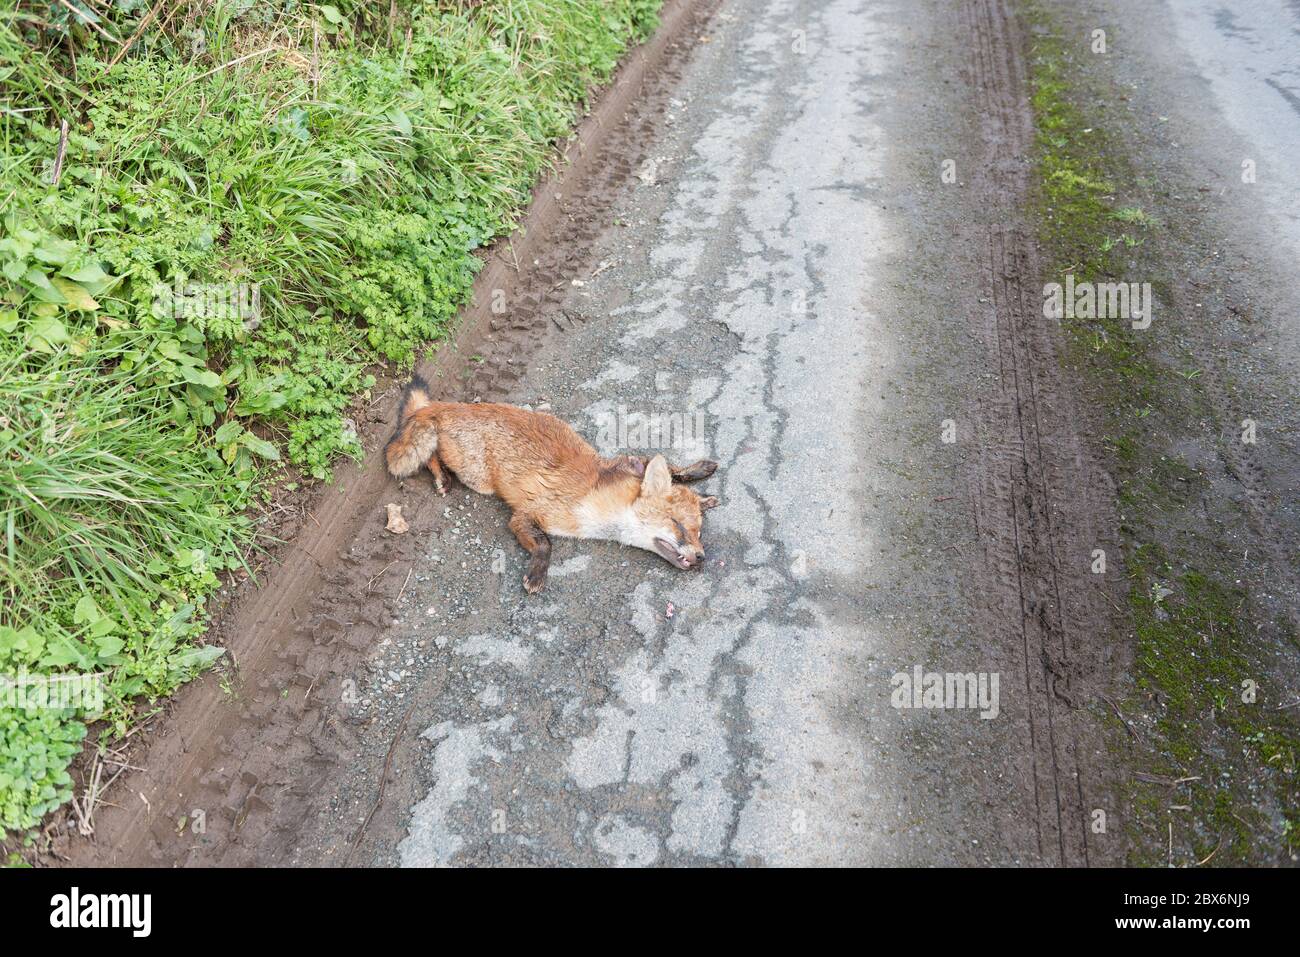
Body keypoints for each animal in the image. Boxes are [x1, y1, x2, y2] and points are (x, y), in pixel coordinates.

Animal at [384, 374, 720, 594]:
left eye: (699, 533)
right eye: (677, 526)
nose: (702, 557)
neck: (598, 501)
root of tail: (450, 406)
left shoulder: (624, 464)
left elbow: (668, 468)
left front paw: (698, 473)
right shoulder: (526, 514)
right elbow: (545, 543)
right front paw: (536, 574)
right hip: (477, 478)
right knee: (431, 452)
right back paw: (440, 476)